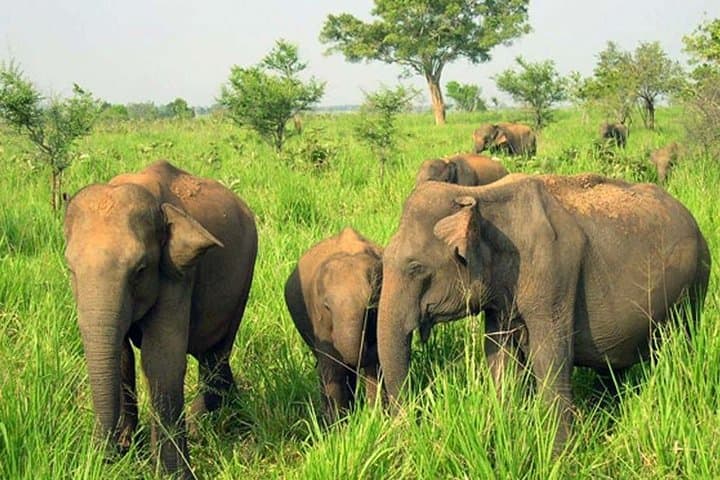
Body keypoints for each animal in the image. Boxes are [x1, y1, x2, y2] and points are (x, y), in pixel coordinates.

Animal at [63, 160, 257, 478]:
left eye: (140, 270)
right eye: (70, 269)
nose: (102, 458)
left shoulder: (177, 273)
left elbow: (161, 361)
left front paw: (170, 473)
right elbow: (122, 356)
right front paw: (127, 449)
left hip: (244, 277)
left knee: (216, 350)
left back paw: (201, 424)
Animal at [284, 227, 383, 422]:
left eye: (371, 306)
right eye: (327, 306)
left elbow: (375, 368)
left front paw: (376, 419)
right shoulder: (318, 318)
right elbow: (332, 367)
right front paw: (338, 426)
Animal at [377, 173, 710, 450]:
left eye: (415, 267)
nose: (411, 431)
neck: (480, 196)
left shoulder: (553, 275)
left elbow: (550, 357)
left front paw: (558, 455)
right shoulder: (502, 293)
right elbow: (500, 358)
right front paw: (507, 432)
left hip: (694, 285)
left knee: (680, 346)